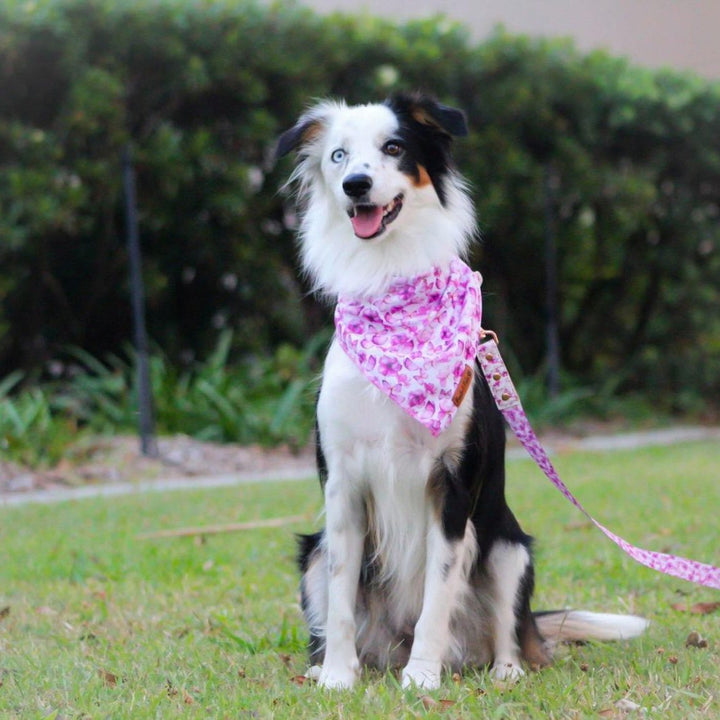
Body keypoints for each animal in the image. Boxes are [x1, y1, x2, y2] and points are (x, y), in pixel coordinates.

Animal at [276, 93, 648, 688]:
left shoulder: (452, 485)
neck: (391, 287)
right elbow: (339, 596)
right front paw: (337, 676)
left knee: (505, 628)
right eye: (338, 155)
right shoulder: (342, 485)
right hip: (312, 552)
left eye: (394, 147)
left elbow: (437, 592)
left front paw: (423, 679)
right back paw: (332, 667)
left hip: (507, 547)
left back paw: (502, 669)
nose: (356, 184)